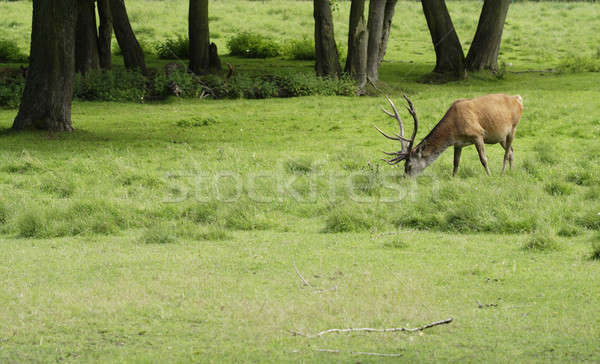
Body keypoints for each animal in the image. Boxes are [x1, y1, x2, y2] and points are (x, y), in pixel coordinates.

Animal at [372, 89, 524, 178]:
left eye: (408, 166)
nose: (405, 178)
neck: (454, 127)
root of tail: (518, 99)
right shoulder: (458, 143)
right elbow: (455, 162)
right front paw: (453, 178)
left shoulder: (477, 134)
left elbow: (483, 159)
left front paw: (489, 175)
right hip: (501, 136)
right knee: (511, 150)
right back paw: (511, 171)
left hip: (514, 127)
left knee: (507, 152)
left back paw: (502, 173)